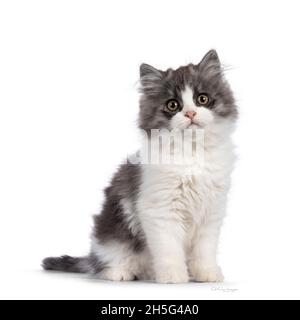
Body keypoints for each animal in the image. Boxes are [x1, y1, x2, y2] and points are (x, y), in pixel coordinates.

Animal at [43, 50, 238, 284]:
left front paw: (206, 274)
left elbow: (205, 249)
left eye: (202, 99)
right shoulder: (160, 210)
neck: (192, 154)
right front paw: (173, 276)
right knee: (108, 259)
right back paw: (120, 272)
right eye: (173, 105)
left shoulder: (212, 211)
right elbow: (169, 248)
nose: (190, 114)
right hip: (111, 233)